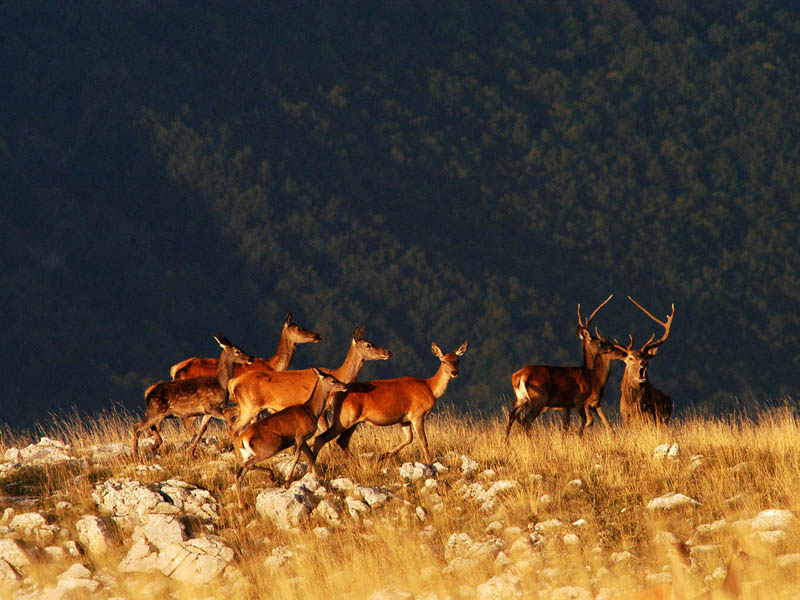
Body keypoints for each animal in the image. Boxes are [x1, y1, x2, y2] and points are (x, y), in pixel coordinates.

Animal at [226, 326, 391, 434]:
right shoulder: (321, 411)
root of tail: (233, 383)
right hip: (250, 407)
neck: (337, 374)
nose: (387, 352)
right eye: (368, 344)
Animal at [232, 367, 348, 508]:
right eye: (333, 380)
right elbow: (297, 456)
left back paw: (242, 505)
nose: (345, 386)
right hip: (269, 447)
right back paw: (271, 476)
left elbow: (311, 455)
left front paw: (316, 477)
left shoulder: (303, 439)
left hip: (248, 453)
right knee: (247, 465)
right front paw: (288, 480)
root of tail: (242, 439)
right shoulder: (300, 435)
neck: (311, 411)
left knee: (239, 474)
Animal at [312, 341, 468, 465]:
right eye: (443, 360)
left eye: (458, 360)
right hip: (344, 419)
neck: (430, 388)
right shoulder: (417, 415)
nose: (455, 372)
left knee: (342, 441)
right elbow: (424, 441)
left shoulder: (404, 419)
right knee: (322, 438)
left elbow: (409, 438)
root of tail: (334, 396)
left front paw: (383, 455)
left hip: (353, 421)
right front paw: (430, 463)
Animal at [505, 294, 621, 437]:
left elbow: (565, 426)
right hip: (538, 399)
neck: (587, 373)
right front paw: (579, 437)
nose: (612, 347)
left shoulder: (566, 405)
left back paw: (506, 441)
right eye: (600, 342)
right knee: (527, 420)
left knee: (511, 416)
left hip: (521, 398)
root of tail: (520, 376)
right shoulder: (579, 400)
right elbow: (584, 422)